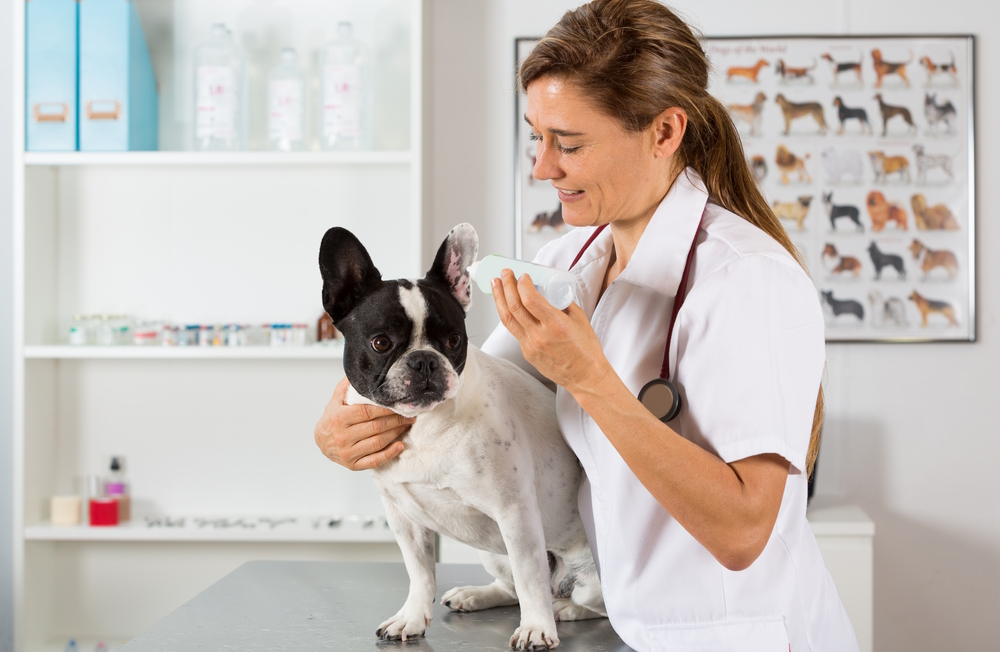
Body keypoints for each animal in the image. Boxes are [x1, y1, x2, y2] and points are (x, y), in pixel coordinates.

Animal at [318, 223, 600, 648]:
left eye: (453, 340)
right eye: (381, 342)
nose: (424, 360)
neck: (422, 425)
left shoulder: (515, 513)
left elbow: (530, 578)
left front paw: (536, 628)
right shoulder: (403, 517)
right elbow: (419, 572)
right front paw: (412, 618)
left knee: (577, 597)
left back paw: (564, 610)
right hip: (493, 551)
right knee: (512, 585)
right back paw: (476, 594)